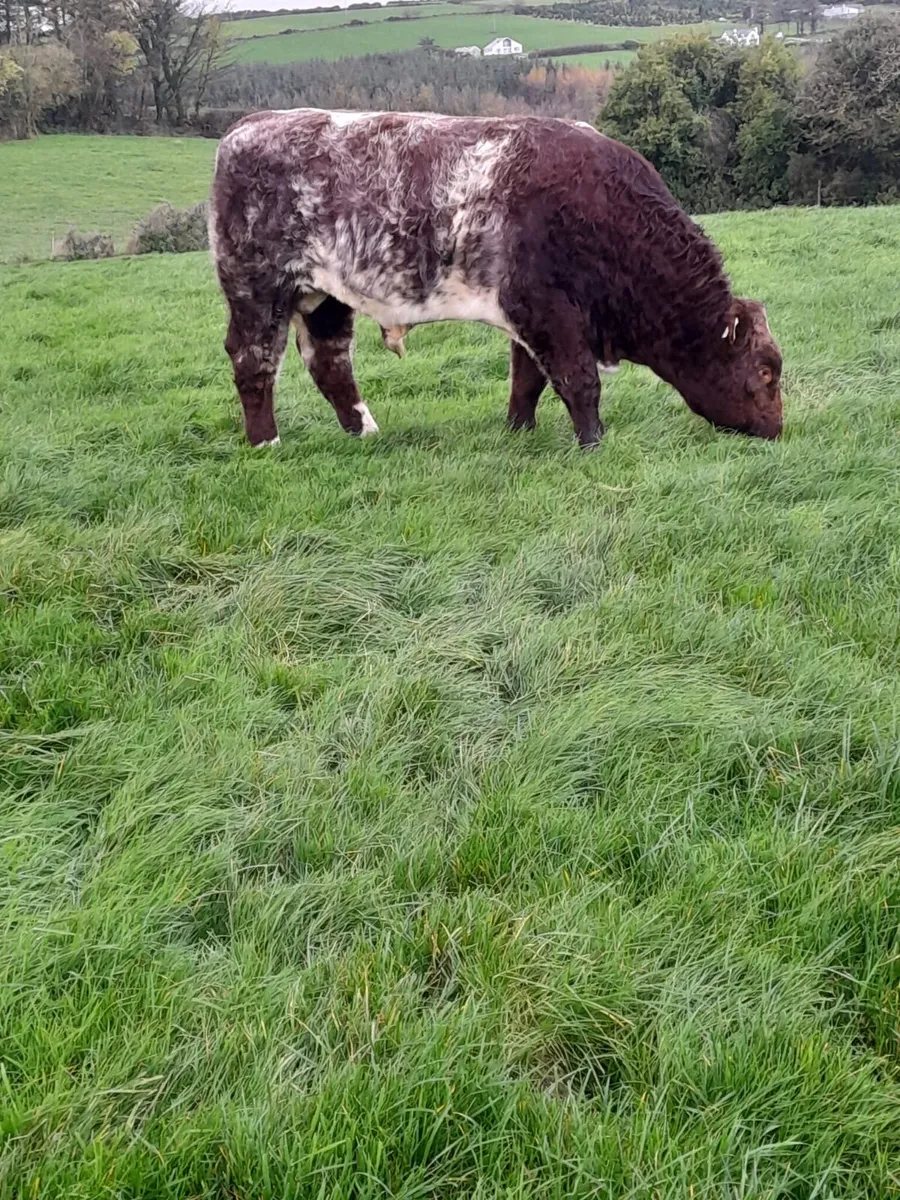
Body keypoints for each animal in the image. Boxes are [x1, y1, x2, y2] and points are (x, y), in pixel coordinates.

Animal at [208, 109, 783, 449]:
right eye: (765, 371)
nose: (778, 428)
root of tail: (247, 126)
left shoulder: (530, 318)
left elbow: (527, 380)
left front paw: (519, 430)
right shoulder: (547, 310)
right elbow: (579, 380)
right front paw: (592, 441)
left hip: (325, 296)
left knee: (328, 361)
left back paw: (364, 432)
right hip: (257, 287)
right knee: (253, 359)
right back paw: (265, 441)